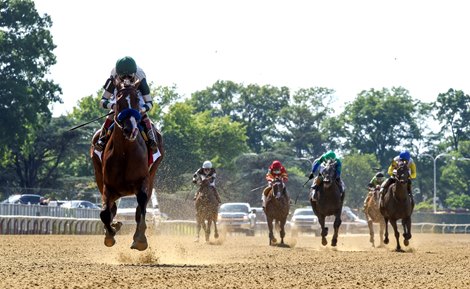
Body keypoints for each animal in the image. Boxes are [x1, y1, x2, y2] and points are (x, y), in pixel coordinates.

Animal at [91, 78, 164, 250]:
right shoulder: (108, 185)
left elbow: (142, 207)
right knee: (112, 208)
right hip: (98, 175)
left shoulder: (143, 181)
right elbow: (104, 213)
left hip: (152, 174)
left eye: (137, 100)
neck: (125, 153)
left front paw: (140, 239)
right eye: (119, 101)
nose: (130, 129)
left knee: (140, 207)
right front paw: (110, 234)